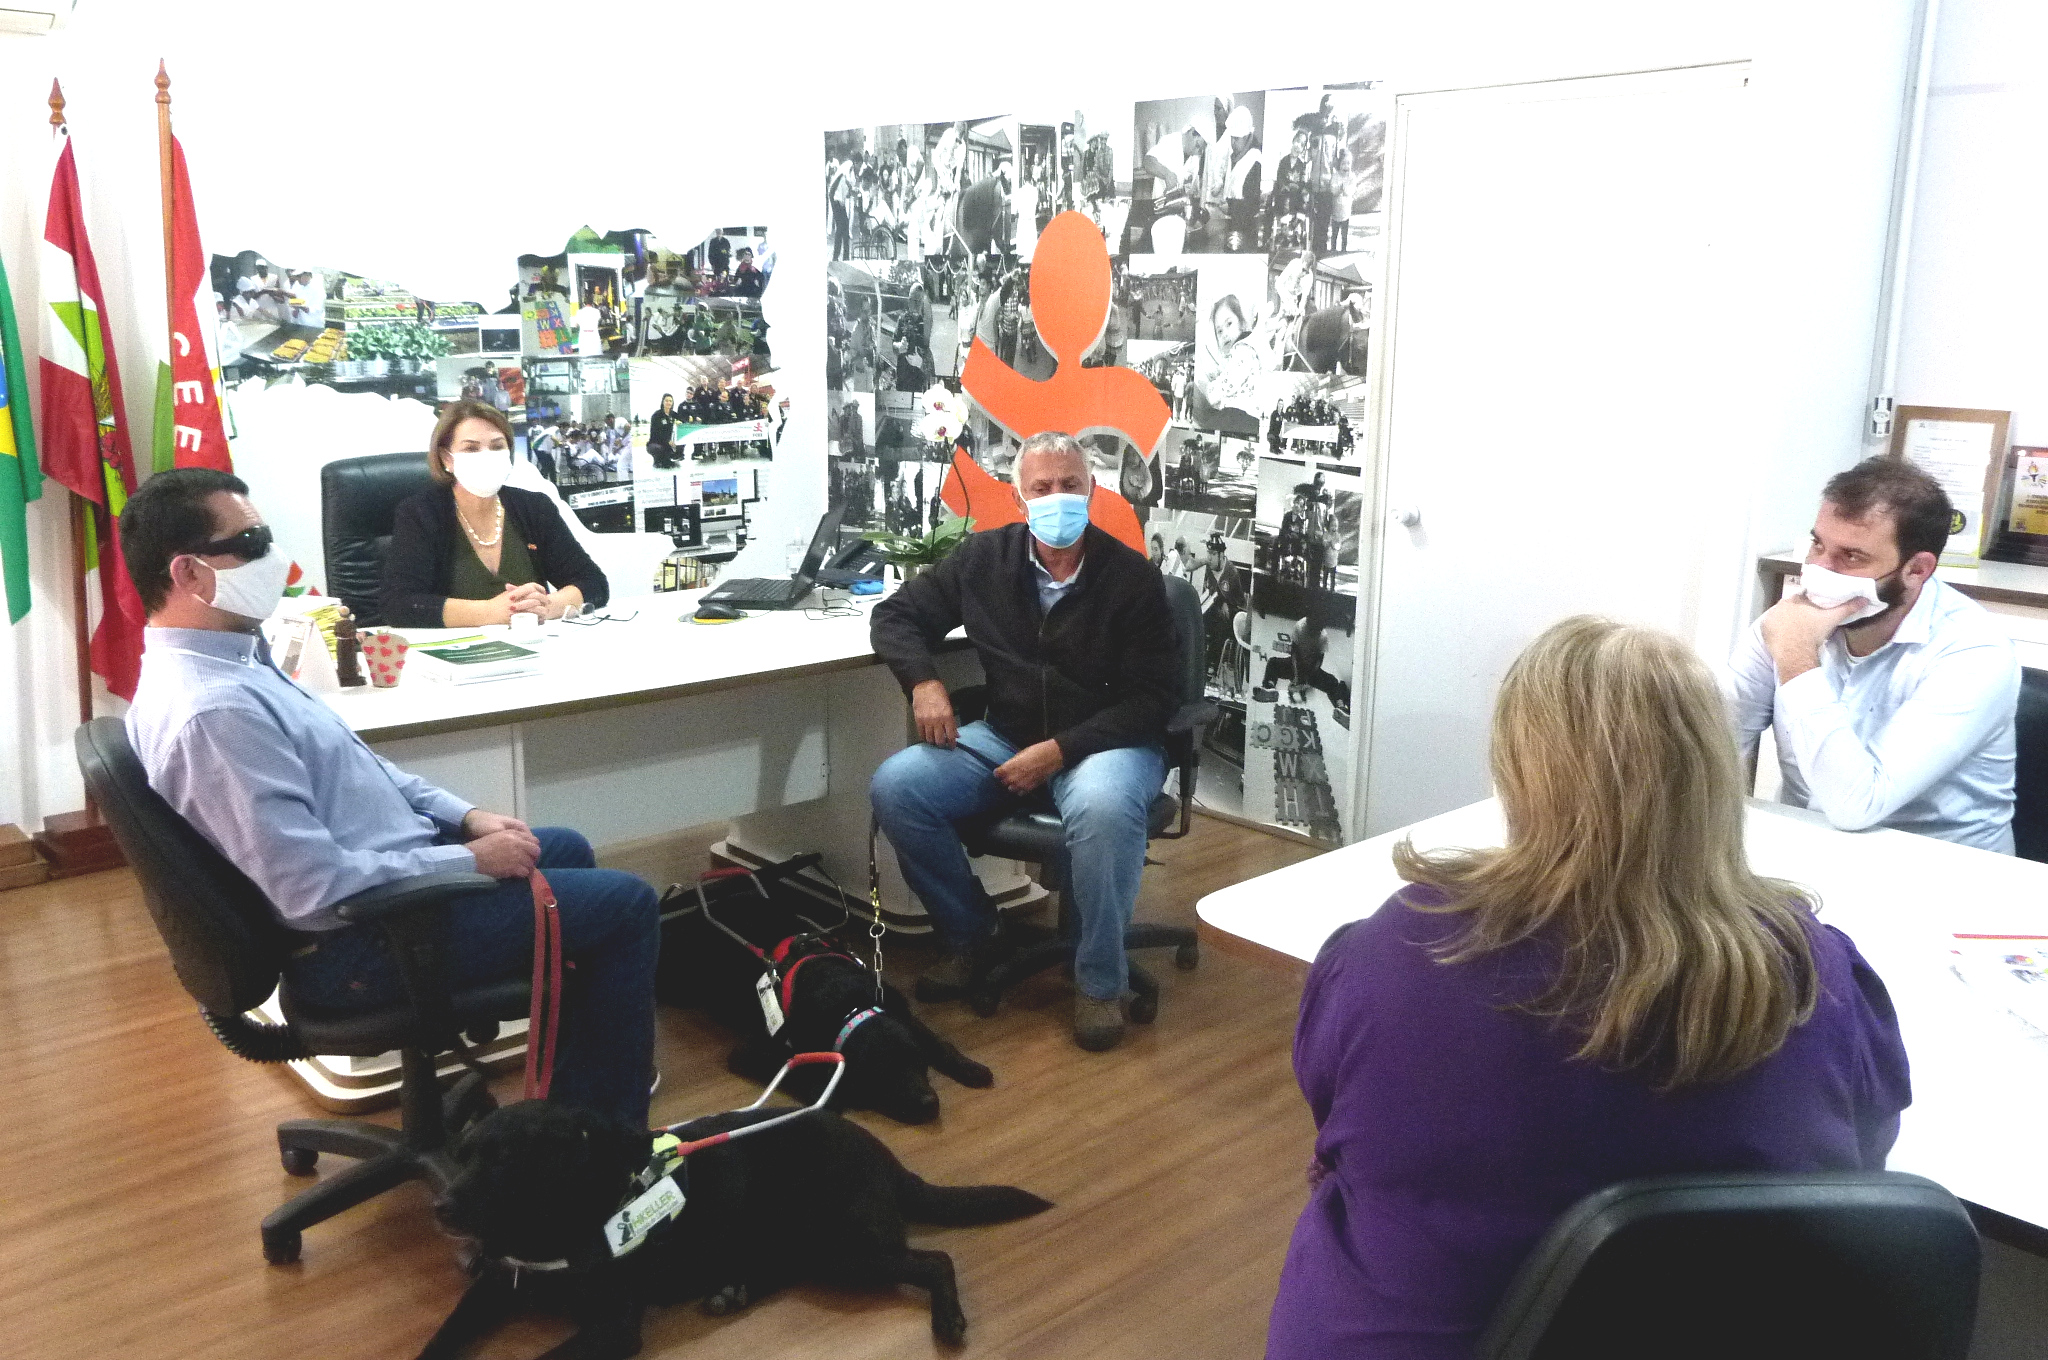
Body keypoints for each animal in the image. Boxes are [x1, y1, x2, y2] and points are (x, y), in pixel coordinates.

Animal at [417, 1097, 1056, 1351]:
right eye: (463, 1154)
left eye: (503, 1161)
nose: (440, 1208)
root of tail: (886, 1156)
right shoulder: (494, 1285)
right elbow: (442, 1337)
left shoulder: (614, 1327)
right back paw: (734, 1291)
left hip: (840, 1245)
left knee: (935, 1259)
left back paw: (948, 1318)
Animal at [659, 888, 995, 1122]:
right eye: (882, 1072)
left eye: (919, 1063)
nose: (930, 1104)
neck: (852, 1007)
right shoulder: (752, 1050)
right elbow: (793, 1068)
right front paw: (824, 1091)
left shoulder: (901, 1011)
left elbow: (940, 1042)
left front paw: (969, 1067)